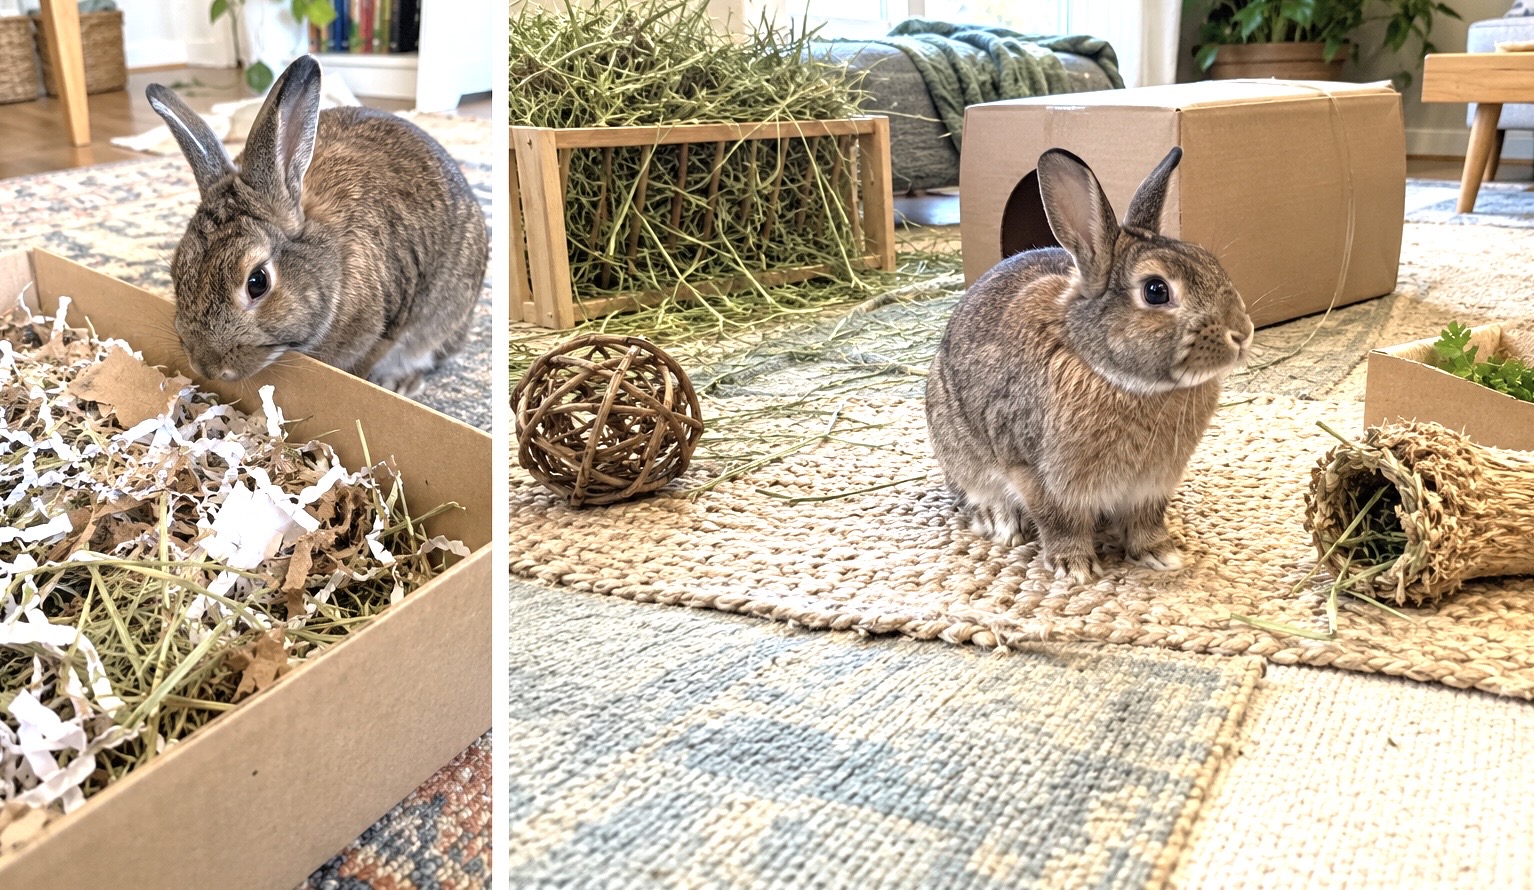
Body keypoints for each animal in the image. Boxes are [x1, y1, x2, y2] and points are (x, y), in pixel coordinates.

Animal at [925, 146, 1253, 584]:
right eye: (1156, 290)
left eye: (1210, 262)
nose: (1242, 333)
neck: (1113, 375)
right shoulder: (1037, 475)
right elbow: (1059, 522)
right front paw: (1075, 568)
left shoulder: (1152, 486)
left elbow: (1147, 522)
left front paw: (1162, 554)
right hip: (958, 448)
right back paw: (1002, 522)